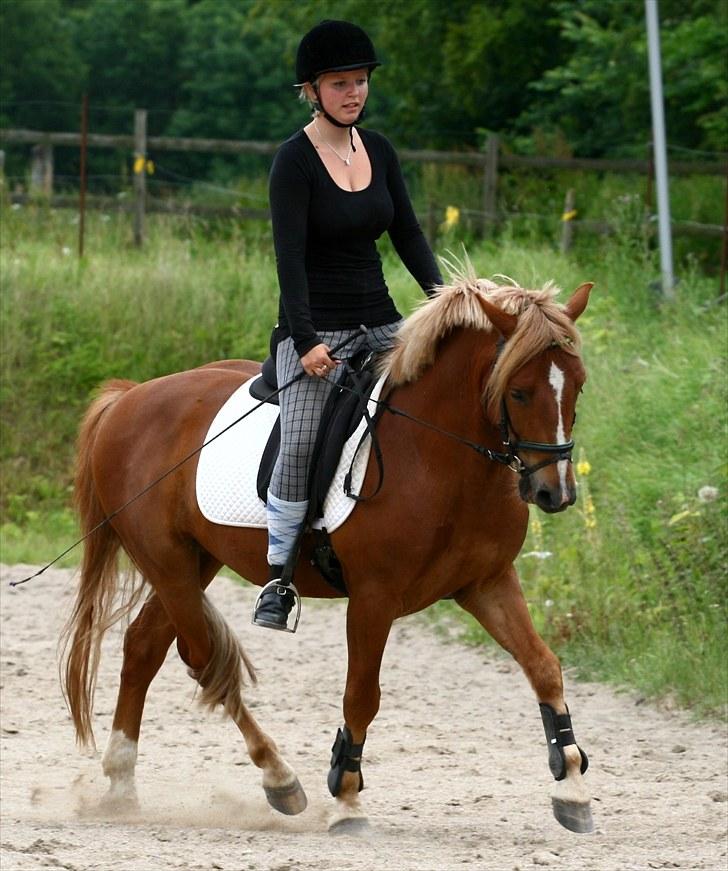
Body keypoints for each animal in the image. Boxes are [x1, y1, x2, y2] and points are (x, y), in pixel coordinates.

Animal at [61, 268, 596, 836]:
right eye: (518, 392)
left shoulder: (487, 584)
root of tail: (127, 399)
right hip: (168, 564)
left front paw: (572, 786)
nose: (555, 493)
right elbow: (362, 695)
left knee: (144, 646)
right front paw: (347, 797)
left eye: (578, 385)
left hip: (194, 562)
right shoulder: (373, 598)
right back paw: (279, 777)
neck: (439, 455)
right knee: (202, 658)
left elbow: (544, 667)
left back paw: (122, 785)